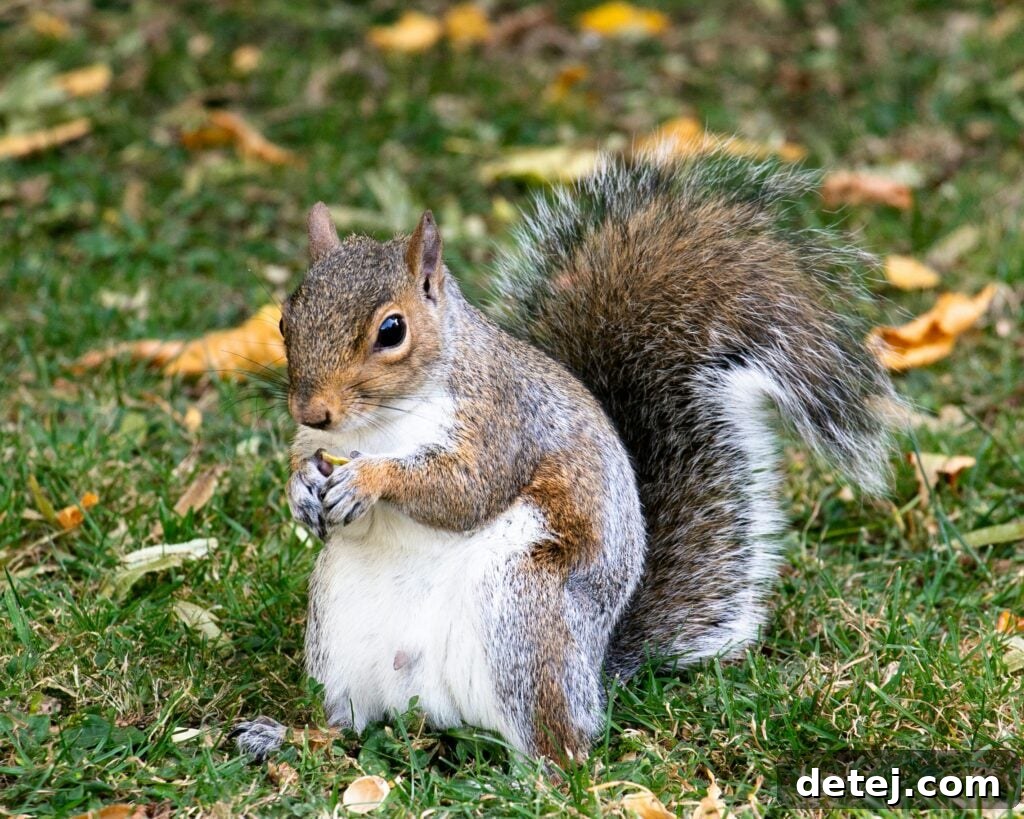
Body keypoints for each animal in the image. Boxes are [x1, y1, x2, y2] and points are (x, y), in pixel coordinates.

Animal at [231, 151, 897, 763]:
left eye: (392, 331)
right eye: (285, 321)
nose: (312, 411)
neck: (377, 425)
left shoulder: (504, 423)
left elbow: (465, 490)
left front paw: (369, 479)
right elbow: (309, 463)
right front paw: (300, 489)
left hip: (526, 613)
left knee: (563, 746)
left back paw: (533, 776)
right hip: (339, 634)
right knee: (350, 724)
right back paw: (283, 735)